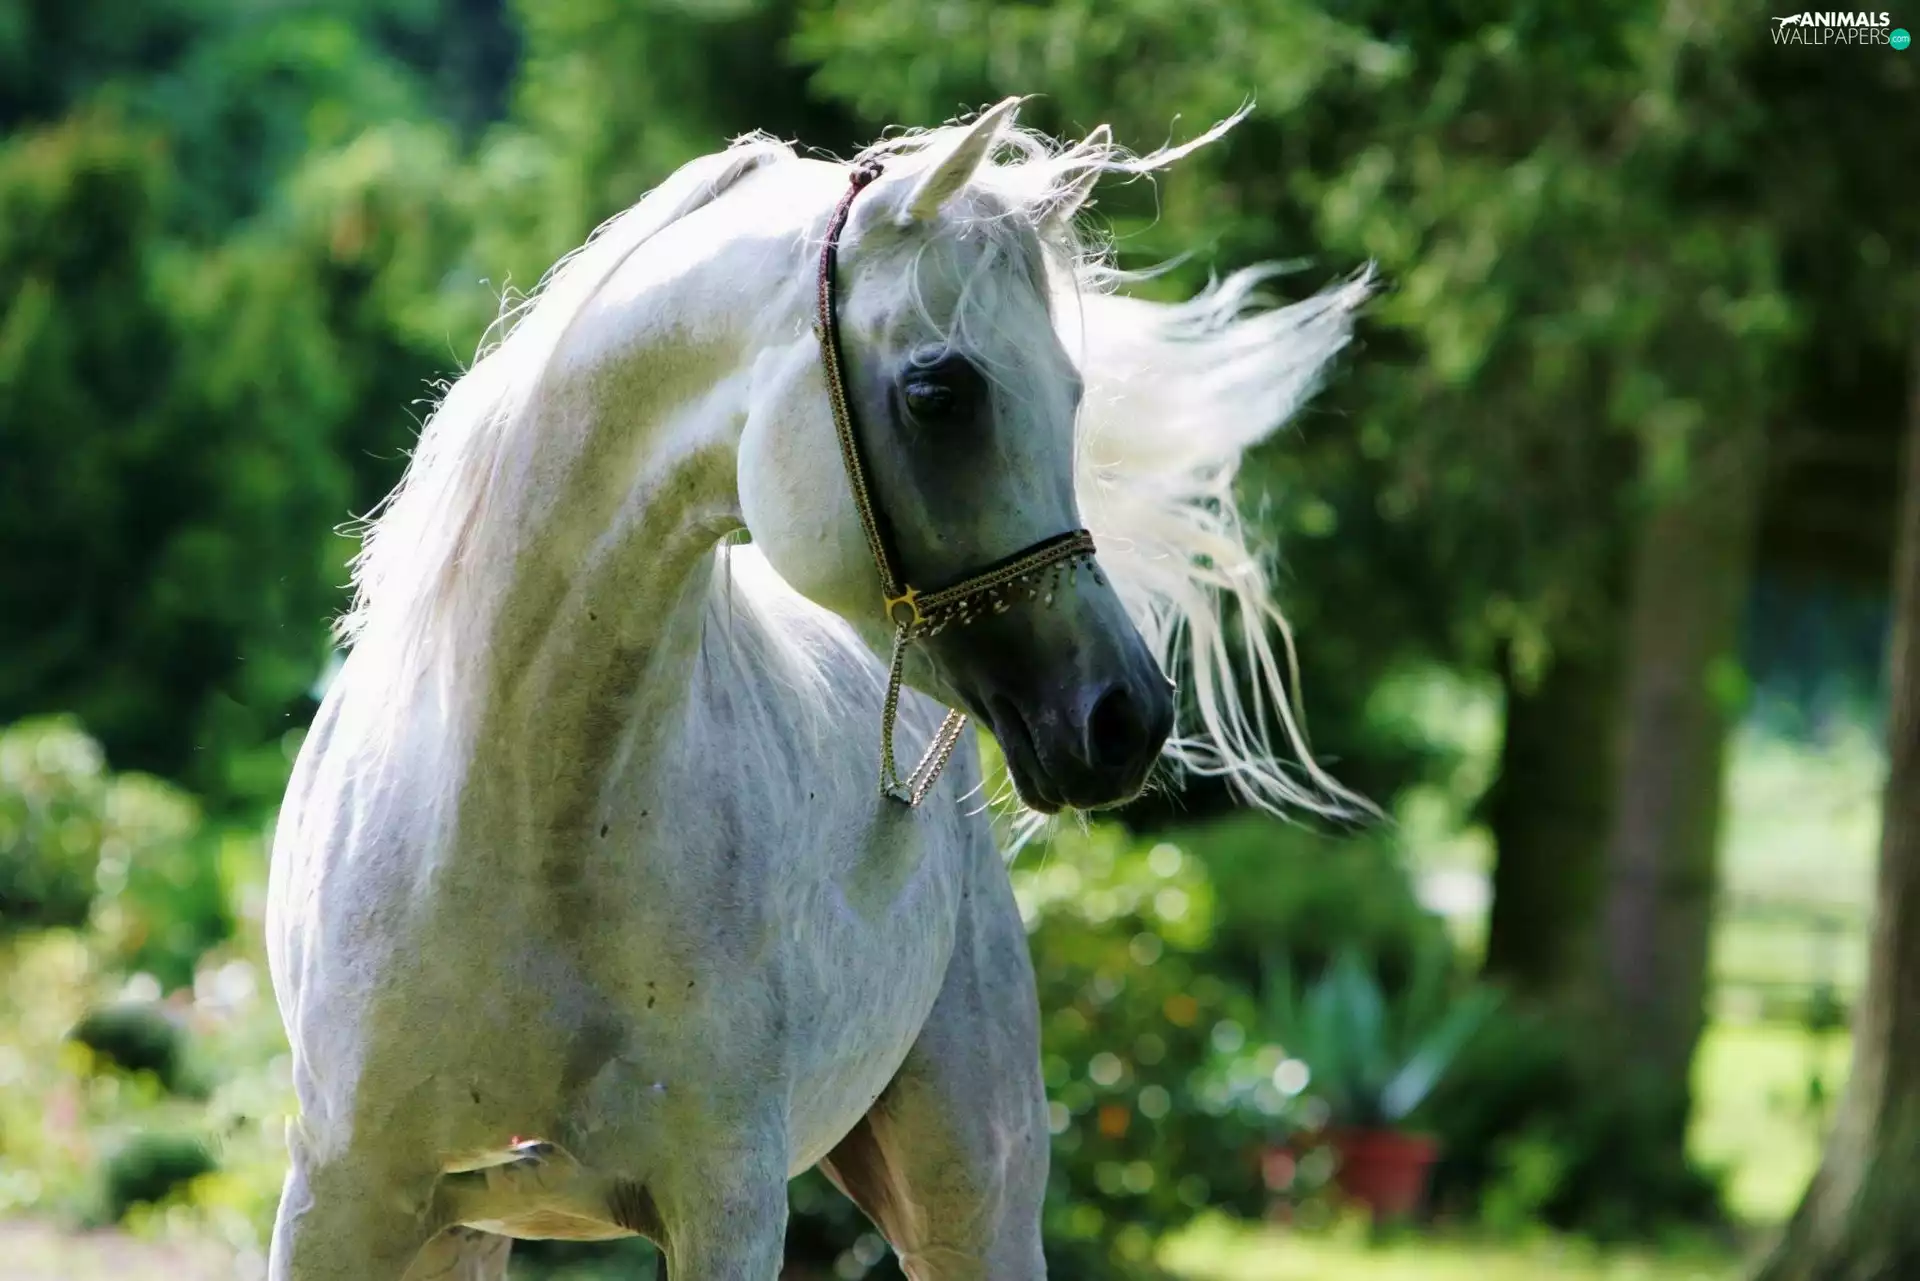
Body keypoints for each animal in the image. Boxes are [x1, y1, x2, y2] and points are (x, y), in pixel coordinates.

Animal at [264, 97, 1368, 1280]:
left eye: (1074, 395)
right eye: (941, 393)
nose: (1125, 718)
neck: (519, 824)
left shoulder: (729, 1211)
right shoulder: (338, 1205)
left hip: (973, 1199)